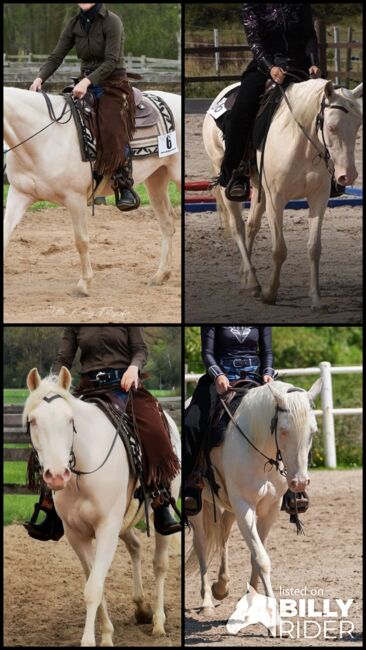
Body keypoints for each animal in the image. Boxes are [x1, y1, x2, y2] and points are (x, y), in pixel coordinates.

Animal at [4, 88, 182, 294]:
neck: (45, 138)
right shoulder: (19, 194)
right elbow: (5, 234)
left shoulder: (75, 198)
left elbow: (81, 240)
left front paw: (84, 283)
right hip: (156, 179)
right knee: (167, 223)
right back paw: (161, 275)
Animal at [23, 368, 181, 644]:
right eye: (33, 421)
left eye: (70, 421)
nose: (57, 475)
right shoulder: (76, 535)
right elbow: (95, 582)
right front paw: (106, 634)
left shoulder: (107, 528)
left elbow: (94, 588)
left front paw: (90, 640)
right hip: (123, 522)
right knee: (136, 546)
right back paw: (141, 607)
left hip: (161, 514)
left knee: (160, 564)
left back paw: (158, 622)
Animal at [187, 378, 322, 636]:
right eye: (283, 430)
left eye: (313, 432)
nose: (299, 483)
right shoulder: (244, 505)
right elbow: (261, 559)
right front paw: (276, 622)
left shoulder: (270, 508)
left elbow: (255, 557)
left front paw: (250, 606)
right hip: (199, 507)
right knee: (201, 544)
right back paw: (207, 601)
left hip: (229, 507)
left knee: (223, 534)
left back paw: (222, 586)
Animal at [203, 78, 364, 312]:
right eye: (331, 127)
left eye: (358, 126)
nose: (348, 176)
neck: (302, 143)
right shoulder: (275, 199)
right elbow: (279, 249)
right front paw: (270, 293)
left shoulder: (319, 198)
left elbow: (314, 248)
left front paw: (316, 299)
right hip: (224, 177)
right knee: (238, 228)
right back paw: (253, 282)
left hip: (258, 186)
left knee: (251, 226)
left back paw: (247, 279)